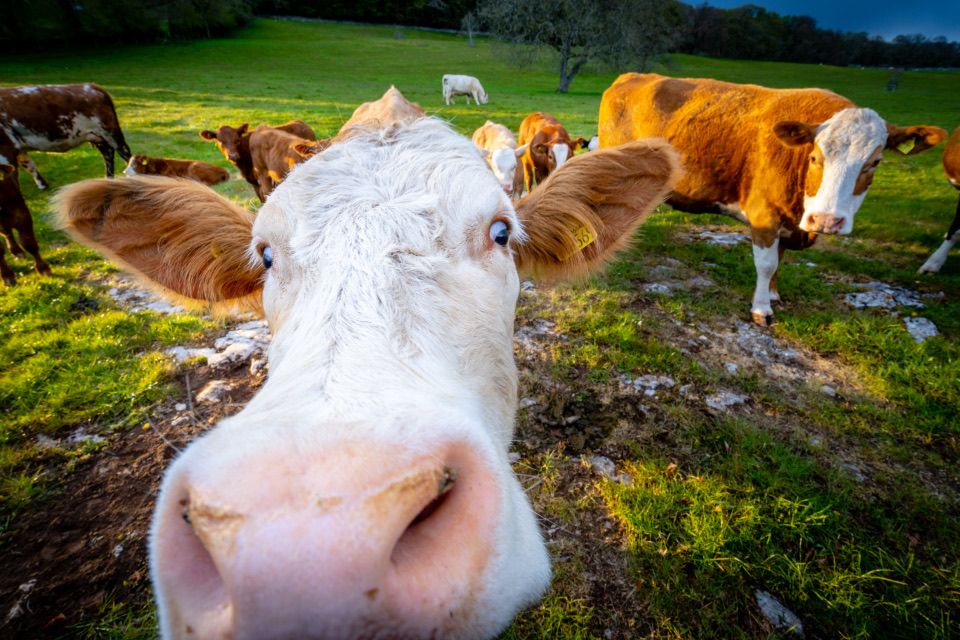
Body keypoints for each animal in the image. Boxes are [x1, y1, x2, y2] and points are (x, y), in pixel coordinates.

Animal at [0, 83, 132, 190]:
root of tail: (93, 86)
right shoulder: (19, 148)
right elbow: (29, 165)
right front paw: (43, 185)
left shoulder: (6, 148)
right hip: (98, 137)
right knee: (108, 155)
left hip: (110, 133)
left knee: (126, 154)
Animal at [598, 73, 948, 325]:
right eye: (815, 157)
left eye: (874, 162)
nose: (826, 220)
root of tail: (631, 76)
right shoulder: (764, 214)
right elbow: (766, 263)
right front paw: (762, 308)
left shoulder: (790, 221)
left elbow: (780, 258)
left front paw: (774, 294)